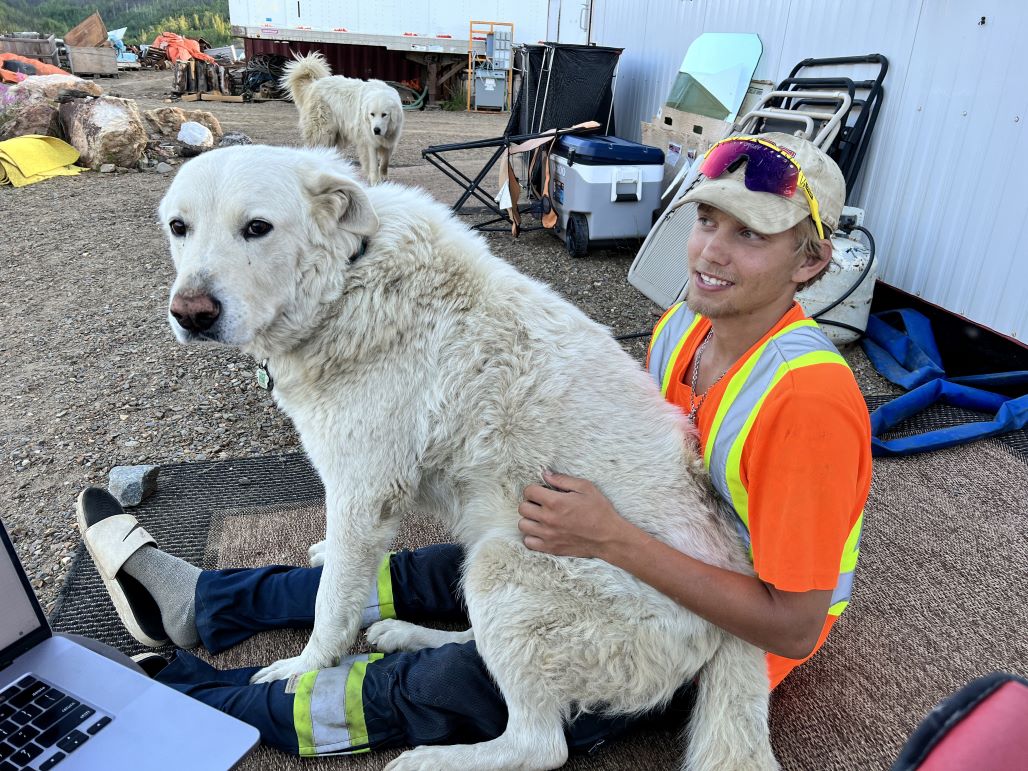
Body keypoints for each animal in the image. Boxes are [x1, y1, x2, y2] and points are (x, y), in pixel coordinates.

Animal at [156, 144, 773, 771]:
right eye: (178, 227)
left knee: (537, 744)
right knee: (479, 650)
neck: (349, 279)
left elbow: (331, 606)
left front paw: (302, 668)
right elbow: (341, 576)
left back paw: (428, 758)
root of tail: (730, 624)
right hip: (482, 560)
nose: (191, 313)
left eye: (257, 228)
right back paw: (409, 636)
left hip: (503, 562)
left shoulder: (362, 492)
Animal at [285, 52, 409, 185]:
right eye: (372, 114)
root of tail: (313, 85)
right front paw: (375, 182)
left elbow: (385, 162)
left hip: (336, 136)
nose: (376, 130)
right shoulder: (369, 142)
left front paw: (384, 178)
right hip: (323, 132)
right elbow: (373, 164)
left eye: (384, 114)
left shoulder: (390, 141)